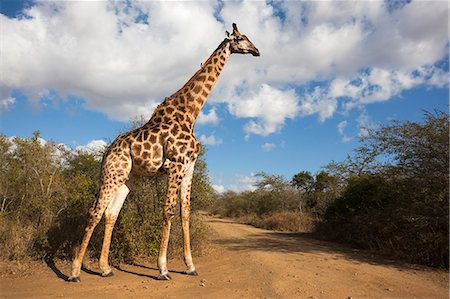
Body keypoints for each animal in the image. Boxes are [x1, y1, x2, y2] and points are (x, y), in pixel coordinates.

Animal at [69, 23, 260, 284]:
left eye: (248, 38)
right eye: (241, 39)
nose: (257, 50)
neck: (190, 113)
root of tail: (106, 153)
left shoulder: (189, 167)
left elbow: (185, 212)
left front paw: (190, 266)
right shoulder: (175, 165)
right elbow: (168, 211)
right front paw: (163, 269)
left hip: (128, 178)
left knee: (111, 213)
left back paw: (105, 268)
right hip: (113, 173)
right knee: (95, 211)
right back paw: (74, 272)